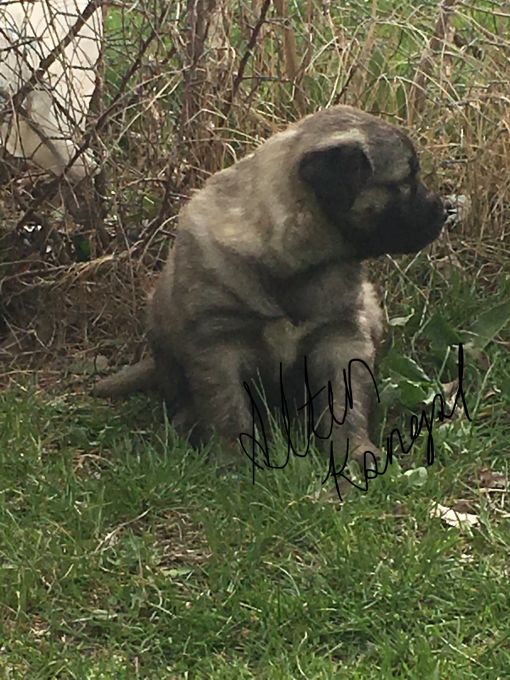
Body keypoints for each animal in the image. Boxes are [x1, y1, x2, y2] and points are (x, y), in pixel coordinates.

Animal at [93, 105, 444, 468]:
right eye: (406, 181)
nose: (446, 210)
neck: (293, 264)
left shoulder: (341, 336)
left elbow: (345, 404)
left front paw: (354, 452)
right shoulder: (218, 343)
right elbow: (228, 407)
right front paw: (234, 458)